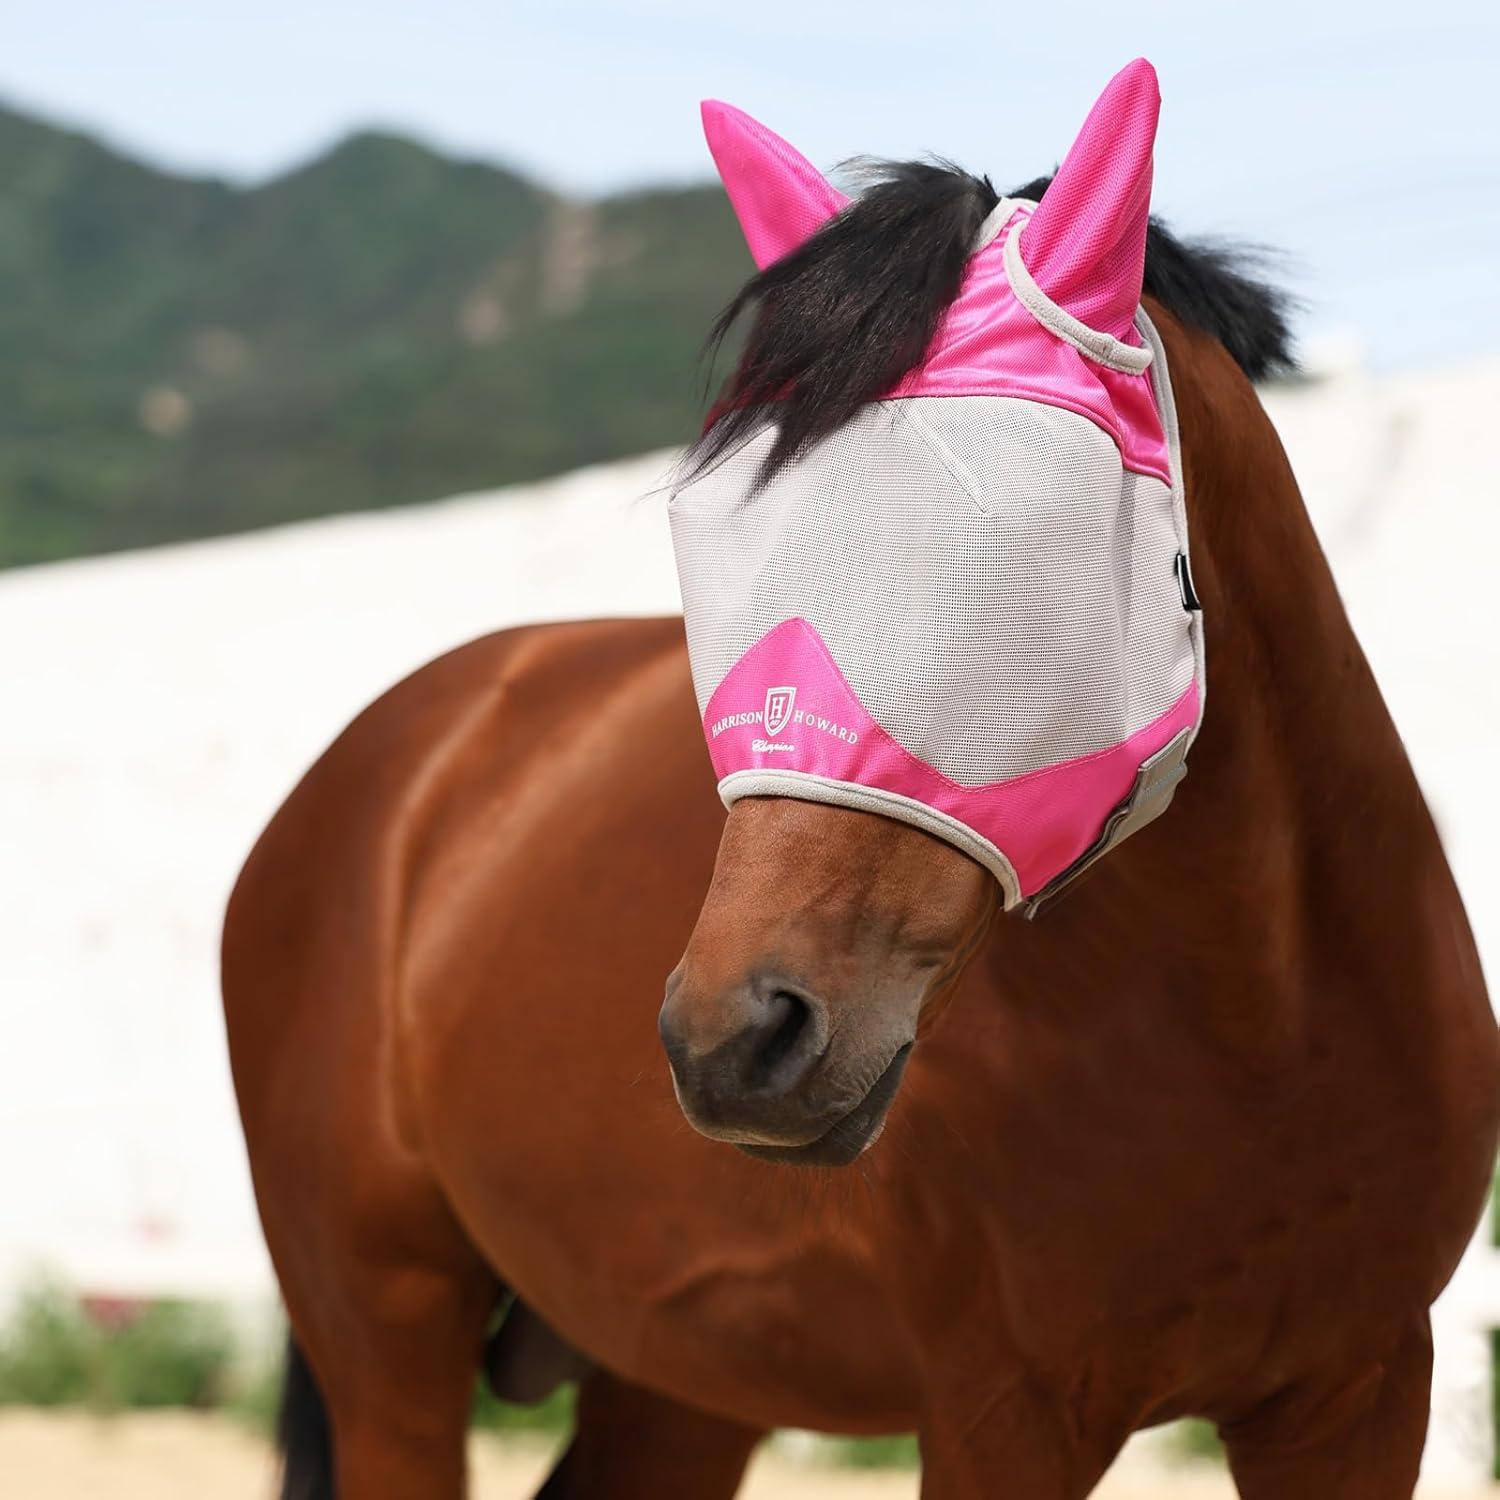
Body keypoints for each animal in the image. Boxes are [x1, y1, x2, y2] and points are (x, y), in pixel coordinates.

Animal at [223, 60, 1500, 1500]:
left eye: (1018, 540)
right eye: (708, 534)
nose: (732, 1042)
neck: (1268, 1027)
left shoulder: (1359, 1394)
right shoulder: (1006, 1409)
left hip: (682, 1378)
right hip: (387, 1328)